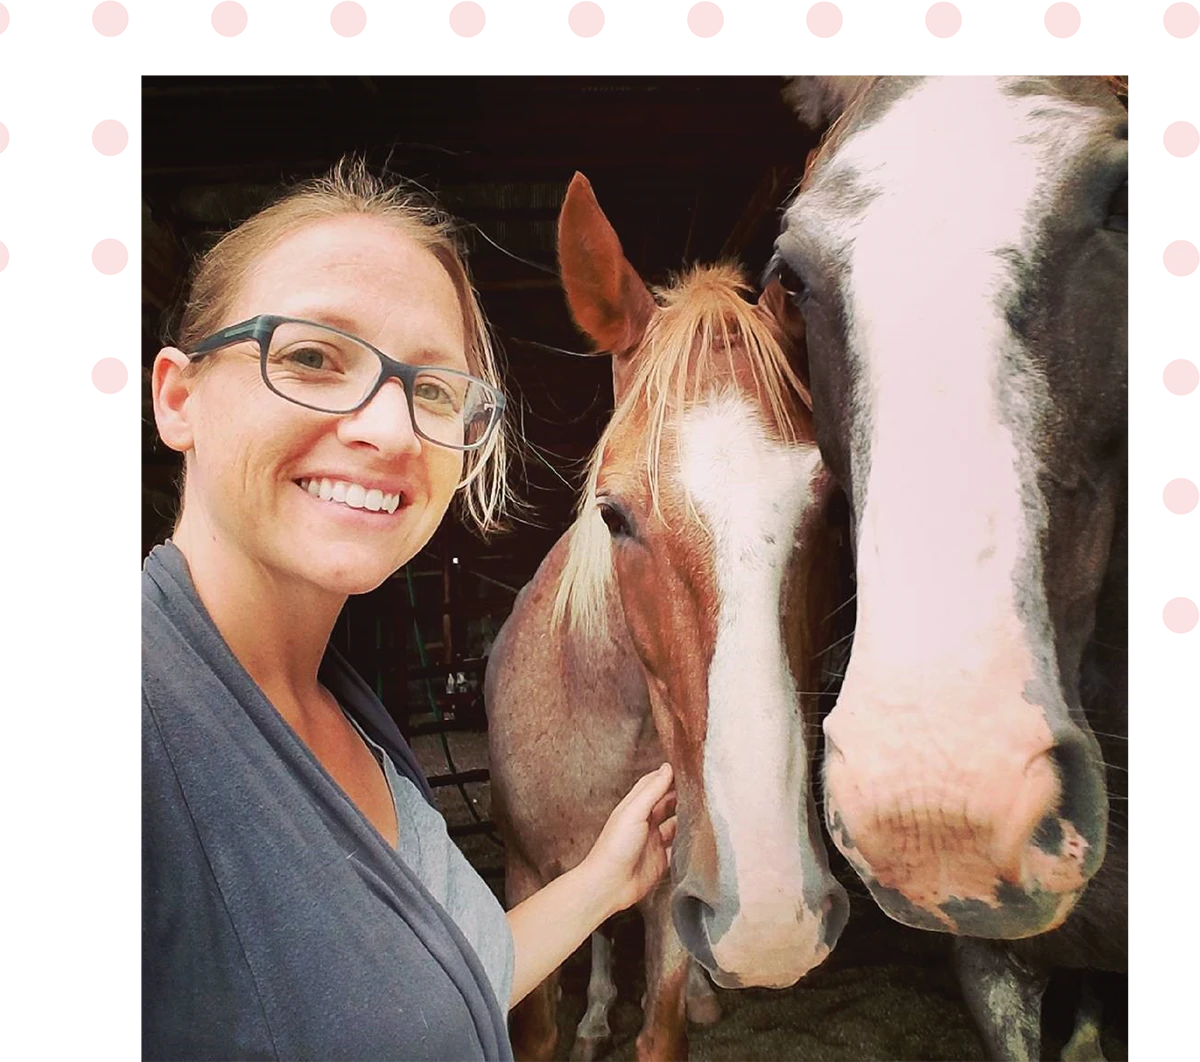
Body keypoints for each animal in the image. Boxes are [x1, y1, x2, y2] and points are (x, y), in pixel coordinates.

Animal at [482, 176, 849, 1060]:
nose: (773, 921)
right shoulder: (525, 878)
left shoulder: (676, 897)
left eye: (833, 511)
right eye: (612, 514)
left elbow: (663, 1023)